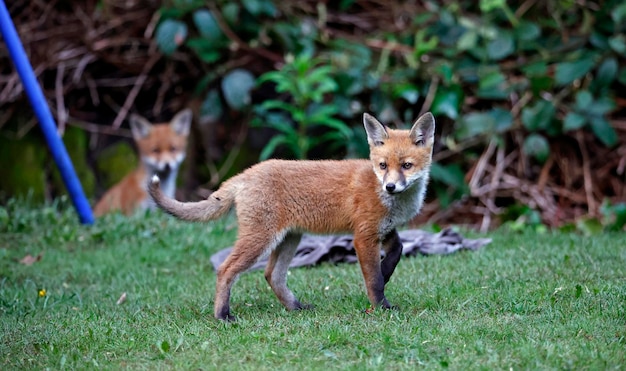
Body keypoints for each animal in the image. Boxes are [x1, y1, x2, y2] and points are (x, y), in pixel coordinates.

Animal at [149, 110, 432, 320]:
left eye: (406, 166)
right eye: (383, 166)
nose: (390, 186)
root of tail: (246, 173)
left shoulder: (384, 229)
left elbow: (397, 250)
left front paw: (386, 272)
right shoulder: (363, 236)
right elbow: (373, 281)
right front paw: (382, 307)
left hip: (289, 238)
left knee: (271, 275)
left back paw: (295, 307)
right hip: (261, 239)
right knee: (225, 269)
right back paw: (222, 315)